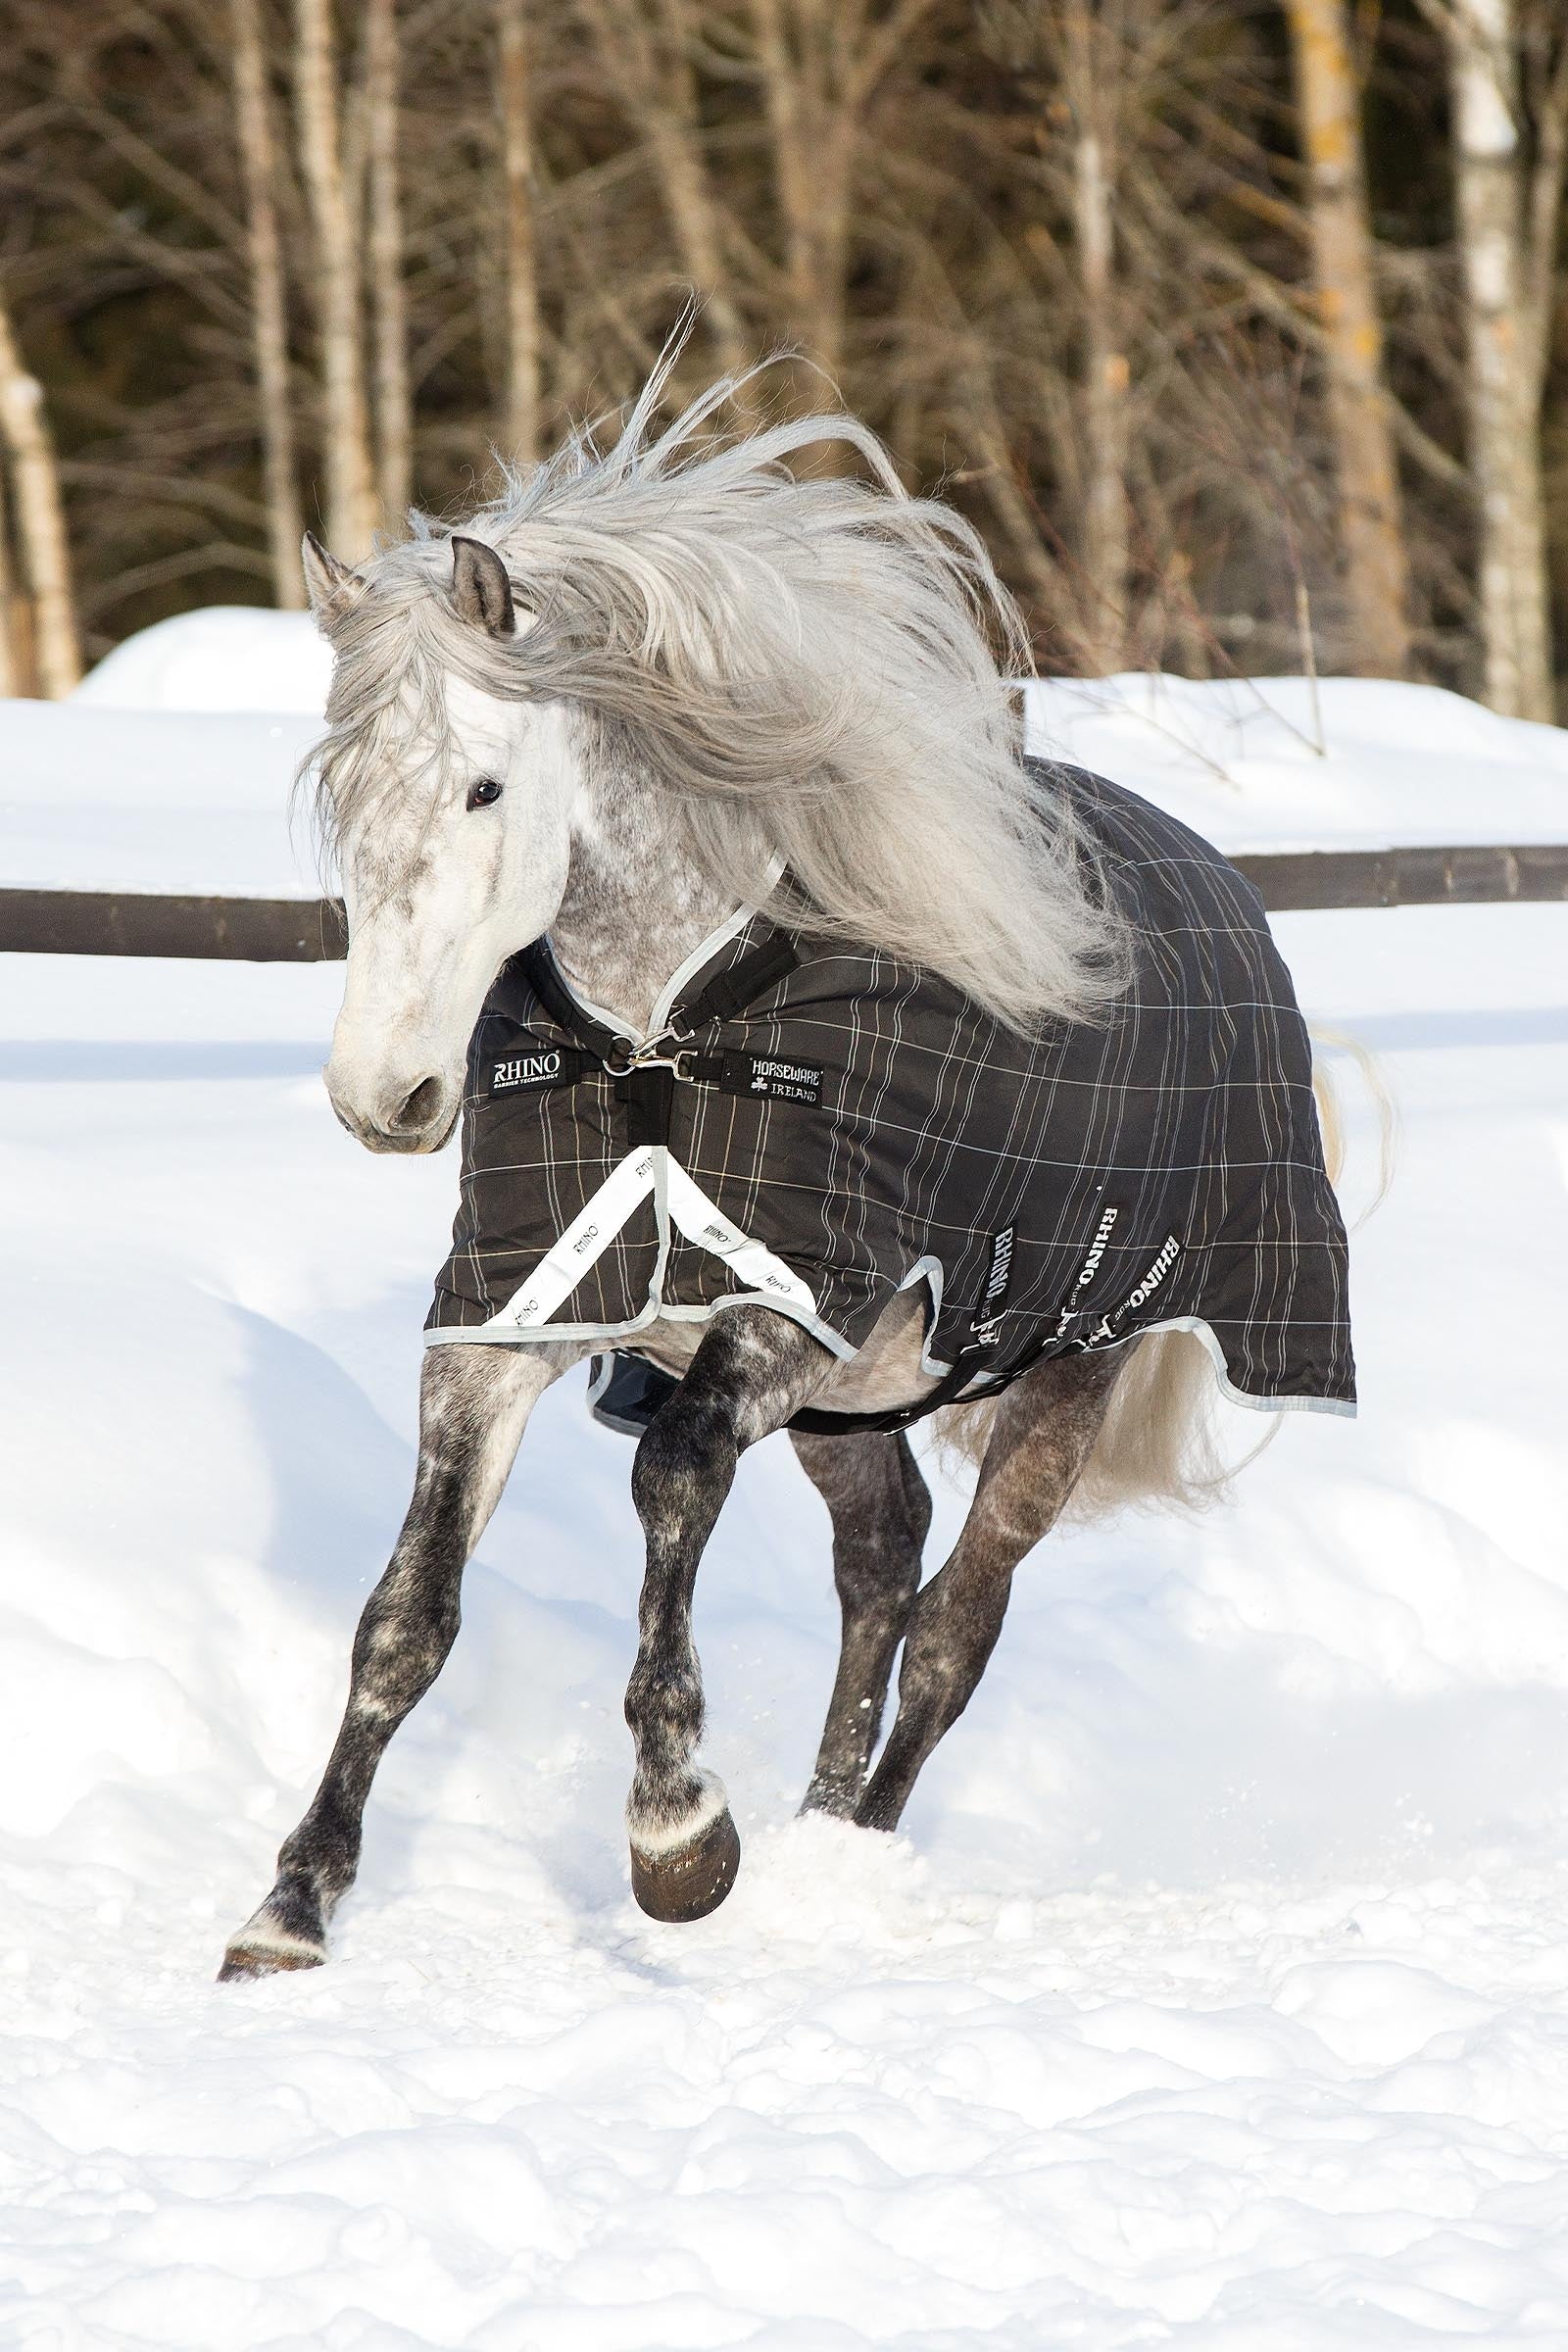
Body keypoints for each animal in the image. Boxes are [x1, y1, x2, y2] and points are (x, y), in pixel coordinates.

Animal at [219, 355, 1353, 1980]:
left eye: (486, 790)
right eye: (340, 798)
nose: (386, 1097)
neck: (664, 1034)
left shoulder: (786, 1299)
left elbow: (675, 1480)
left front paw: (678, 1839)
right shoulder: (511, 1314)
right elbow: (406, 1615)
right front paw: (290, 1910)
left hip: (1067, 1369)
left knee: (953, 1624)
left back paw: (850, 1858)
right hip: (855, 1402)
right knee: (882, 1567)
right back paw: (819, 1832)